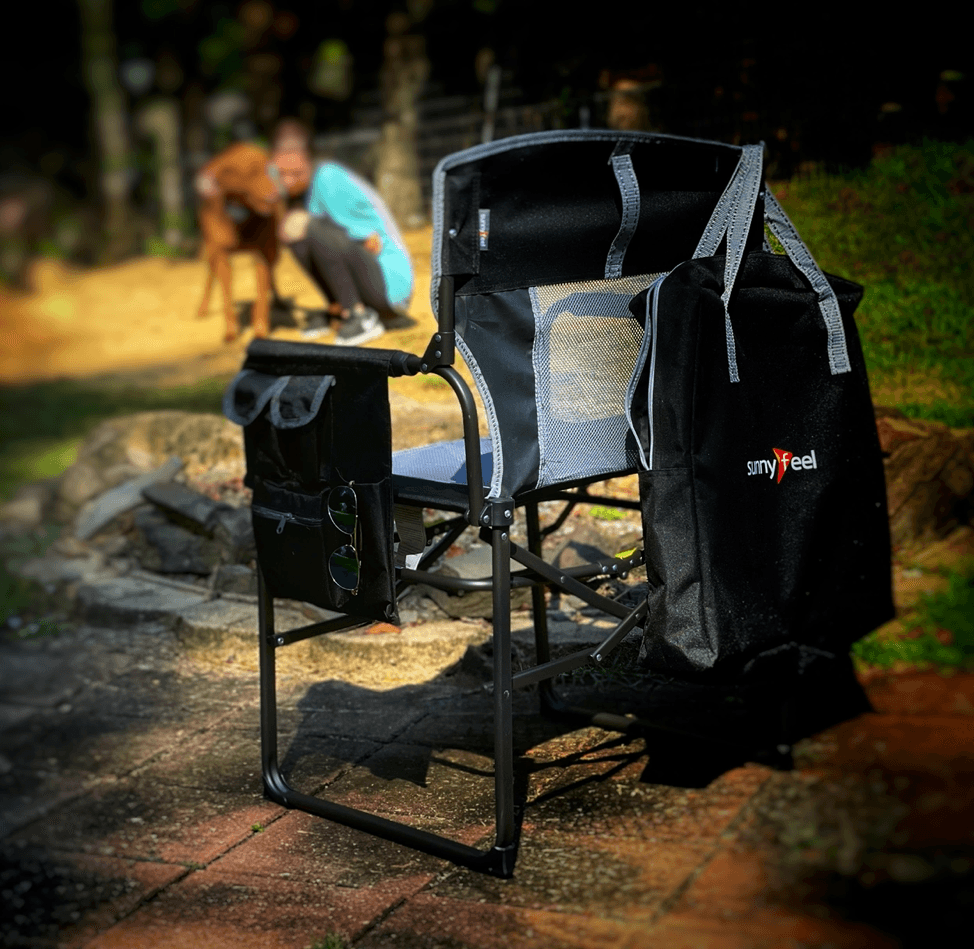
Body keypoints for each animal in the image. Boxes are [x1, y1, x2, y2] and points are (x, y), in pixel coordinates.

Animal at [195, 143, 284, 342]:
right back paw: (202, 309)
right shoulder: (221, 256)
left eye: (268, 169)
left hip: (274, 251)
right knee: (209, 277)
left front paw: (260, 330)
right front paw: (231, 331)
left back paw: (279, 301)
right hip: (210, 252)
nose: (278, 194)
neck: (239, 216)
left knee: (272, 276)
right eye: (251, 173)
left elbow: (261, 297)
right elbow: (227, 298)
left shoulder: (261, 255)